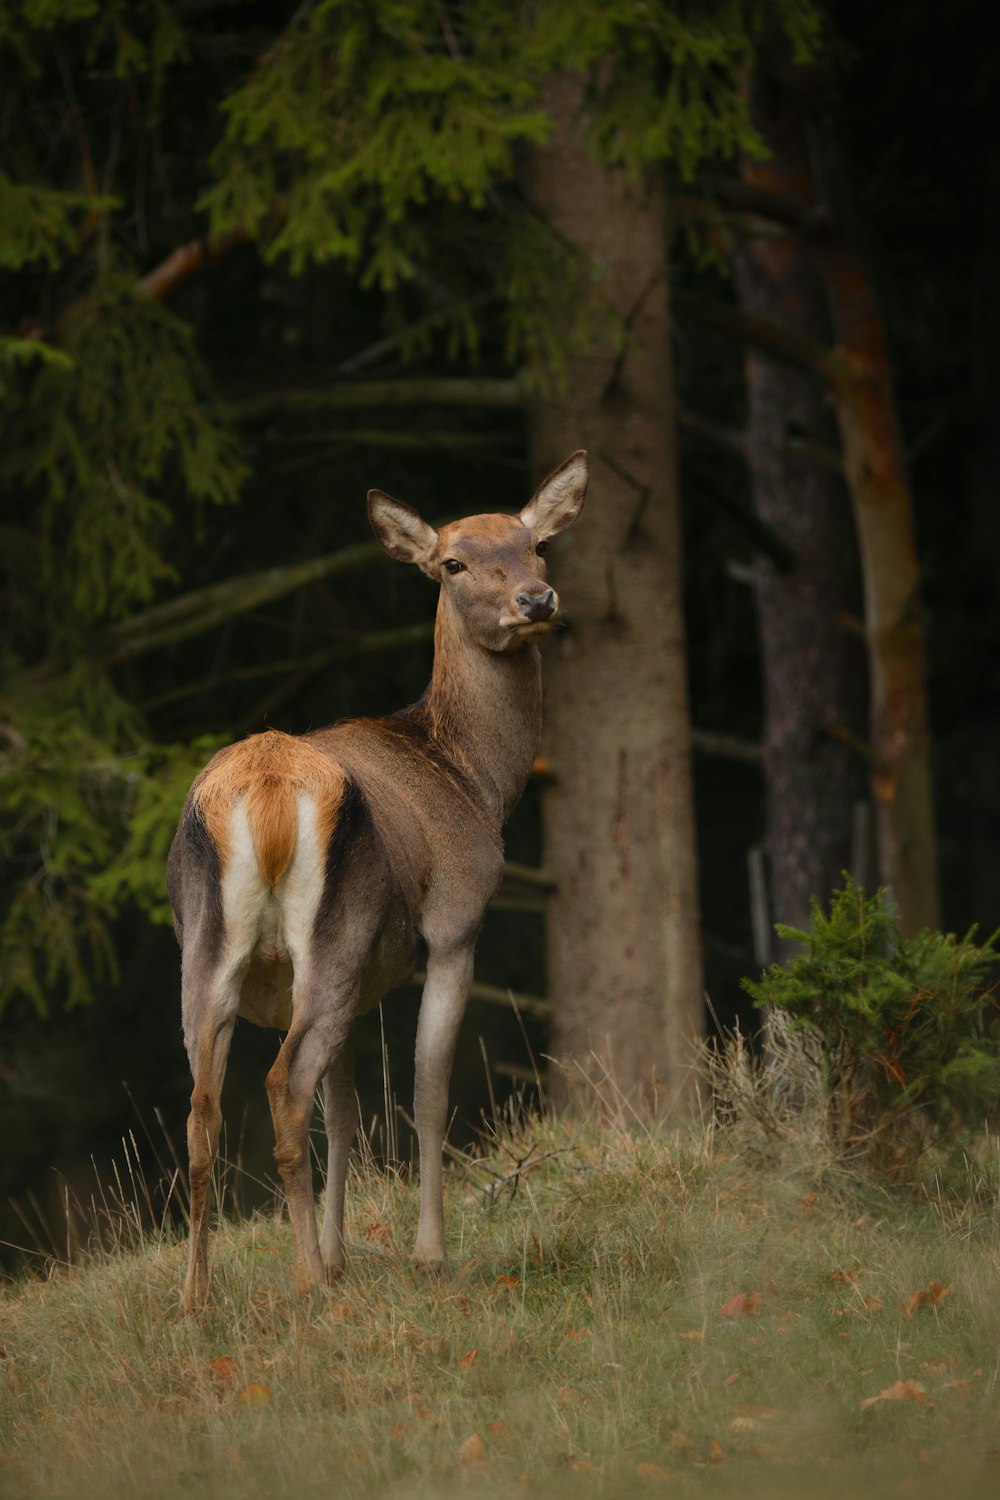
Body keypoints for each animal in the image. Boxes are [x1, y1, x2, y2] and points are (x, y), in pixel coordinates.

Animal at [164, 450, 587, 1308]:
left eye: (535, 545)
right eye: (453, 562)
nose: (537, 599)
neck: (474, 778)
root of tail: (265, 793)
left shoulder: (353, 984)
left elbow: (349, 1110)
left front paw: (341, 1254)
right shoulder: (457, 920)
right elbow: (426, 1091)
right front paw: (426, 1255)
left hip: (216, 948)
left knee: (204, 1108)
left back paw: (197, 1300)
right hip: (336, 927)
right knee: (284, 1087)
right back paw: (304, 1287)